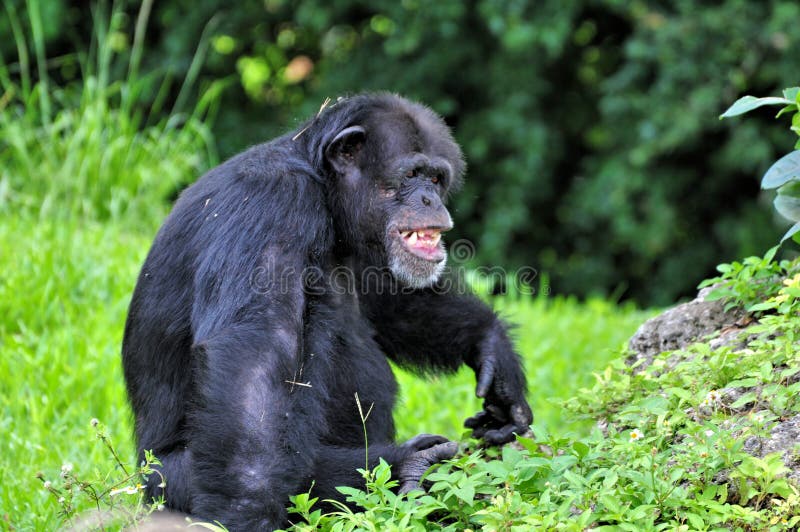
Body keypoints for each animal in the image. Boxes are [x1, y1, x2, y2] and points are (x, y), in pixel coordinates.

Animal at [122, 93, 536, 528]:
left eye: (437, 179)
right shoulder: (273, 203)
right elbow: (253, 353)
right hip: (170, 486)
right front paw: (242, 515)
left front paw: (494, 351)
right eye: (411, 175)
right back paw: (412, 467)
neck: (323, 189)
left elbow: (390, 299)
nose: (431, 200)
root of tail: (140, 480)